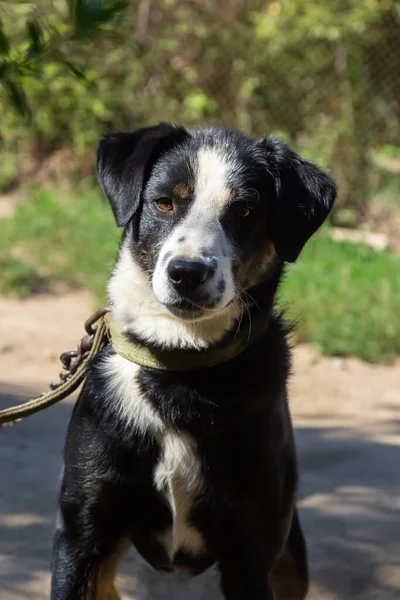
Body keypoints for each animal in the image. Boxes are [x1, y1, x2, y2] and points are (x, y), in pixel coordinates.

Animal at [51, 123, 336, 600]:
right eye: (165, 202)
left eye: (243, 211)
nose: (187, 273)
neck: (178, 363)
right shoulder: (81, 536)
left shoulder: (252, 554)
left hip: (291, 559)